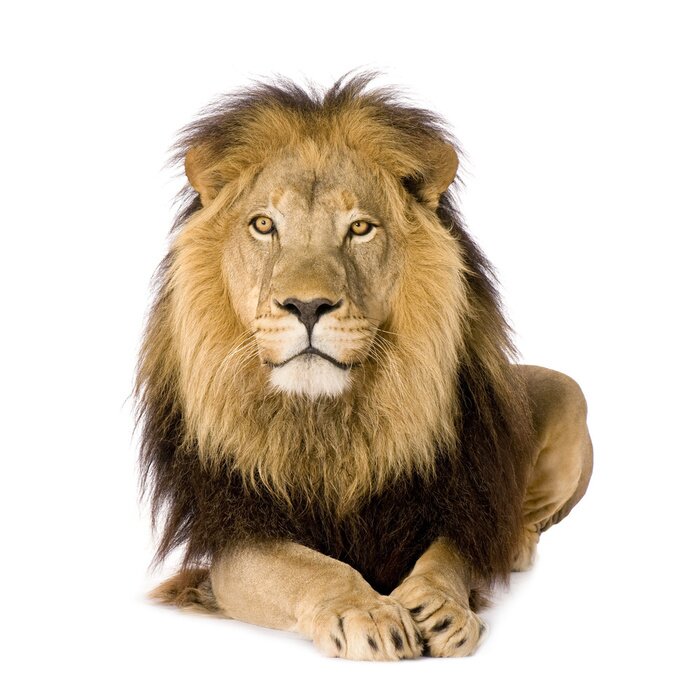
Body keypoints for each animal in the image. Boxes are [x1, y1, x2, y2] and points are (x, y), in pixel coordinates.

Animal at [137, 73, 593, 660]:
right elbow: (310, 568)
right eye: (263, 225)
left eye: (359, 229)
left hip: (568, 390)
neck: (330, 422)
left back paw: (512, 543)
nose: (307, 306)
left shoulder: (458, 505)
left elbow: (449, 558)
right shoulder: (236, 537)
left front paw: (441, 607)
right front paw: (368, 612)